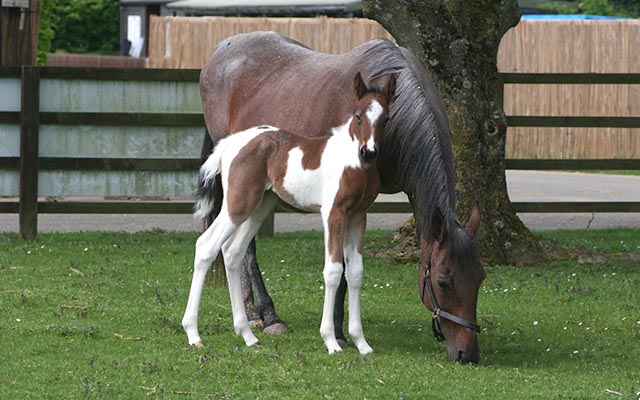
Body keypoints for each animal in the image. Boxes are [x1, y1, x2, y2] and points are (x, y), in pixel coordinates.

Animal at [183, 72, 395, 354]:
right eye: (359, 115)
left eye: (386, 118)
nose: (368, 153)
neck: (351, 162)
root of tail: (230, 143)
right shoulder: (334, 214)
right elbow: (333, 271)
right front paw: (330, 341)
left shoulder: (359, 216)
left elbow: (355, 272)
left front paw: (361, 343)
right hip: (238, 204)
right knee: (206, 245)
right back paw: (193, 333)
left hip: (260, 206)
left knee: (232, 251)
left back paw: (247, 334)